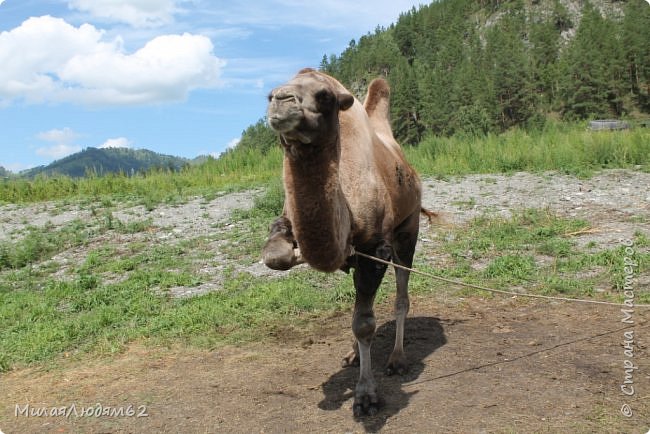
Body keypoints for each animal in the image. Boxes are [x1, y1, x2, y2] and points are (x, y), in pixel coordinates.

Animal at [260, 68, 422, 418]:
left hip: (409, 228)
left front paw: (366, 395)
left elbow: (364, 323)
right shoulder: (287, 222)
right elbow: (275, 256)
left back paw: (397, 359)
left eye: (324, 96)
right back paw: (352, 355)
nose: (280, 100)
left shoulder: (375, 250)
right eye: (268, 94)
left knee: (401, 295)